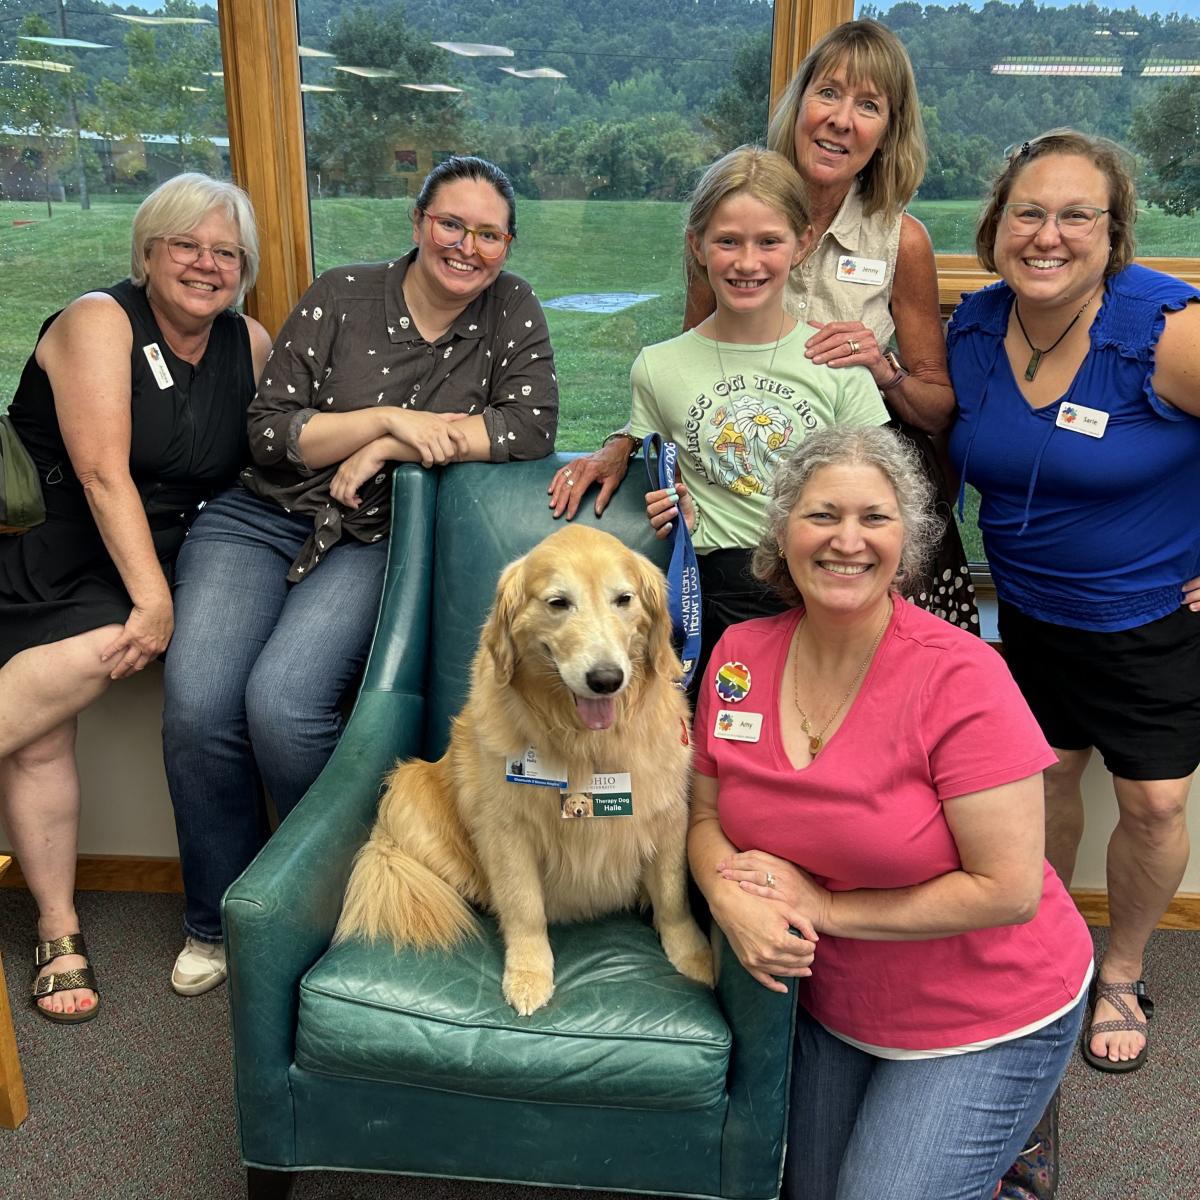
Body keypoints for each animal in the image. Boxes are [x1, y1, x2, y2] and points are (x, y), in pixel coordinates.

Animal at [336, 525, 710, 1012]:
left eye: (623, 599)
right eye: (558, 602)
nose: (606, 679)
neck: (584, 745)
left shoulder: (668, 816)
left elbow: (673, 895)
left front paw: (693, 954)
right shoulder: (506, 831)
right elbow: (524, 905)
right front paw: (530, 973)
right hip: (408, 787)